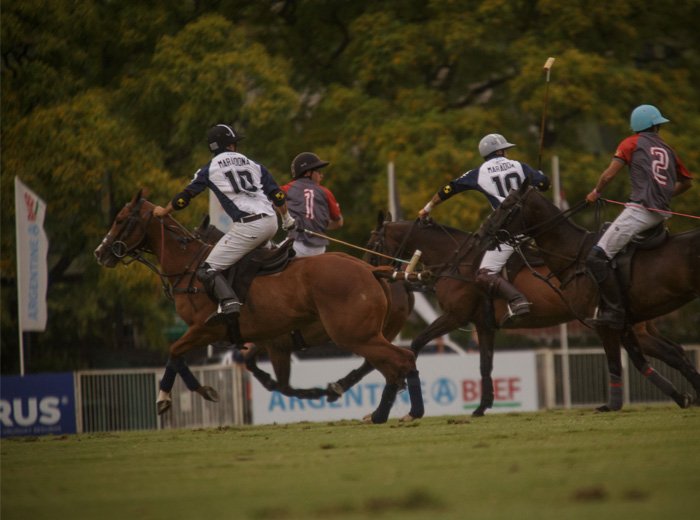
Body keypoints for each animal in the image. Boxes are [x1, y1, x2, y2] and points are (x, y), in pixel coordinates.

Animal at [93, 190, 422, 422]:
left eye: (120, 220)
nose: (100, 252)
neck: (190, 267)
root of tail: (372, 270)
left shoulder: (206, 330)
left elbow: (174, 352)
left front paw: (167, 398)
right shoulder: (267, 339)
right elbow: (187, 357)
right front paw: (204, 391)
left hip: (353, 334)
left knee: (400, 360)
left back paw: (391, 412)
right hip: (364, 334)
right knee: (393, 365)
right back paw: (387, 411)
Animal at [330, 209, 700, 416]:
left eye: (372, 242)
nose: (367, 271)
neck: (455, 258)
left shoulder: (455, 316)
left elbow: (414, 345)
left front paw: (349, 387)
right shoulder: (483, 324)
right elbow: (484, 364)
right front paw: (482, 406)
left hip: (622, 323)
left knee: (664, 354)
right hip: (639, 325)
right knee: (674, 352)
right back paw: (684, 396)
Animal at [482, 182, 700, 410]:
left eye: (506, 204)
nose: (484, 232)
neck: (573, 256)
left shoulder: (603, 324)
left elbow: (615, 362)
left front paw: (612, 405)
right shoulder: (624, 324)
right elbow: (648, 359)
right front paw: (683, 396)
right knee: (674, 352)